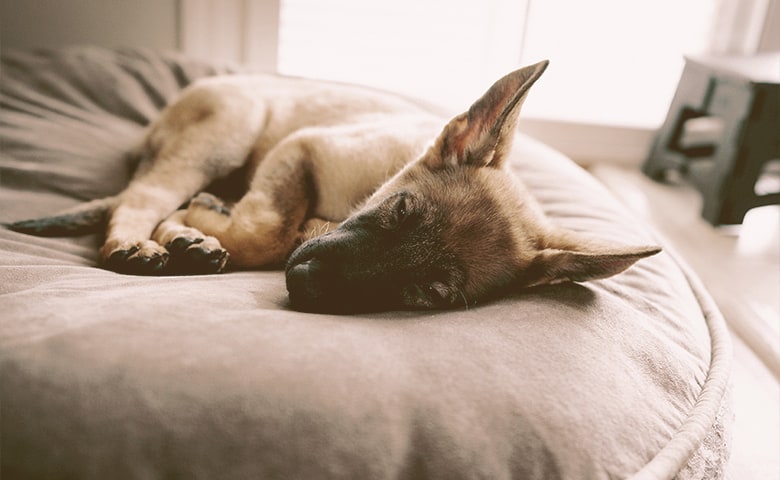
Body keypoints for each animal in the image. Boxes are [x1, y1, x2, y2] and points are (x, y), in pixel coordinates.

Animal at [7, 60, 660, 314]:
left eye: (428, 293)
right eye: (400, 210)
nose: (306, 281)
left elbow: (270, 233)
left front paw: (193, 230)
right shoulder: (304, 147)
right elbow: (266, 232)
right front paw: (192, 228)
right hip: (230, 131)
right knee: (140, 197)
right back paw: (136, 242)